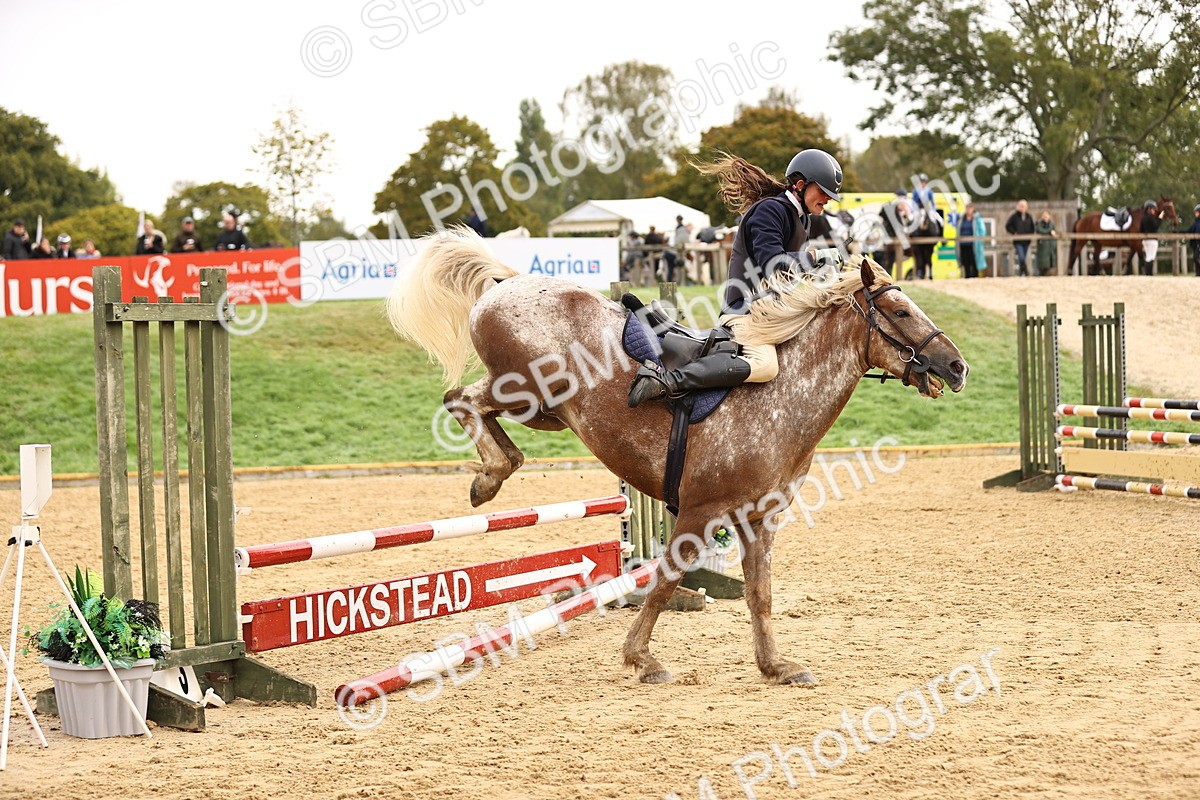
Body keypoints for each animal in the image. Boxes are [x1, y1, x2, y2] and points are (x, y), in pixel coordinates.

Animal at [388, 228, 969, 686]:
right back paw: (490, 475)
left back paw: (495, 467)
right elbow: (665, 582)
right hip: (528, 394)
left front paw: (774, 666)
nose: (957, 366)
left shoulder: (758, 520)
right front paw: (640, 658)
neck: (779, 399)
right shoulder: (697, 514)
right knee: (461, 399)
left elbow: (759, 594)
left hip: (543, 412)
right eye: (900, 311)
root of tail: (510, 281)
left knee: (476, 410)